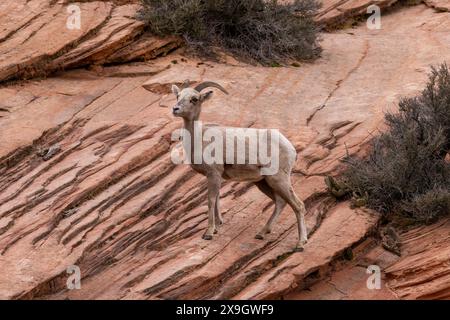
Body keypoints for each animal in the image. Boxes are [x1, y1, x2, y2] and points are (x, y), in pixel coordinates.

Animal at [160, 81, 308, 251]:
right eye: (178, 96)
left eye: (194, 99)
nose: (175, 109)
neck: (199, 139)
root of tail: (291, 148)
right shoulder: (215, 177)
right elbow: (217, 200)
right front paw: (217, 228)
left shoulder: (214, 174)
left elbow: (211, 200)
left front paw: (208, 233)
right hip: (263, 182)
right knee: (280, 202)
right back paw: (261, 233)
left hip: (278, 179)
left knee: (298, 205)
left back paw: (300, 244)